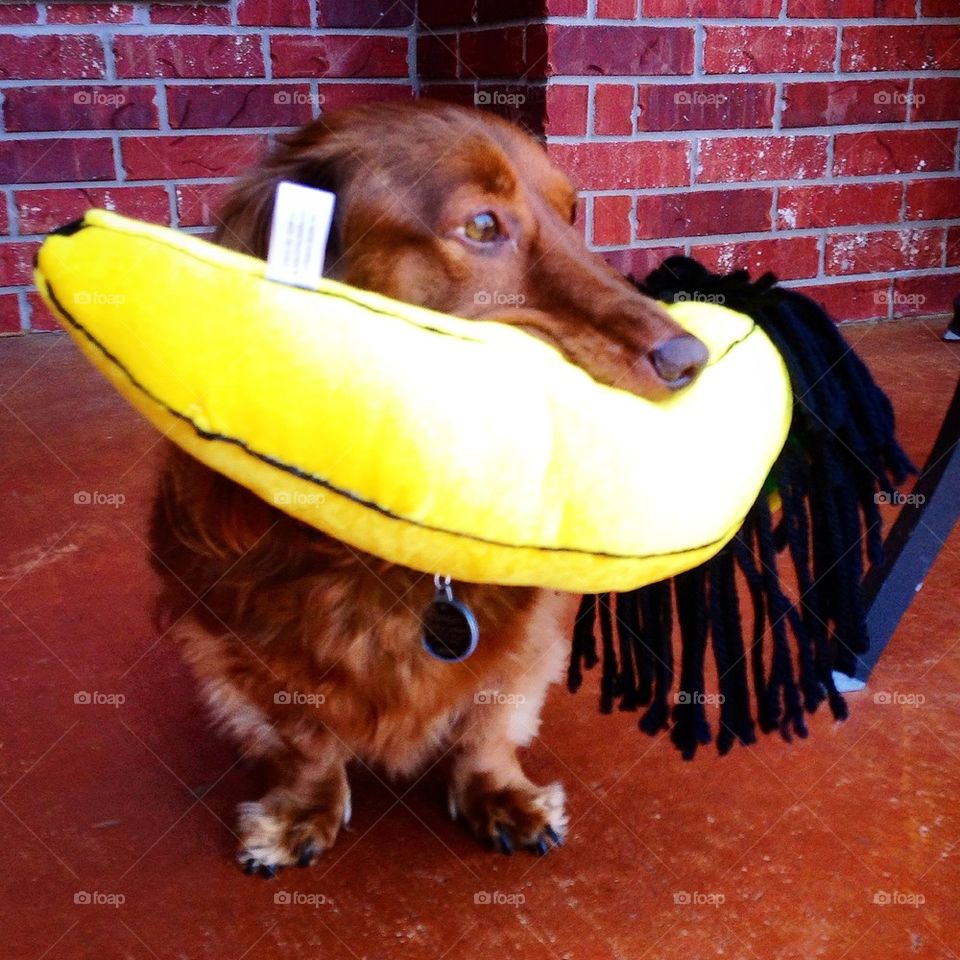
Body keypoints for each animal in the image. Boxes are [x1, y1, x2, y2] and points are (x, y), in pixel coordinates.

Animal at [148, 101, 704, 872]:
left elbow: (488, 723)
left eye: (572, 211)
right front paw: (303, 810)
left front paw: (500, 794)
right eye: (482, 226)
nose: (692, 360)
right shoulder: (235, 641)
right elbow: (304, 739)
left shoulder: (528, 640)